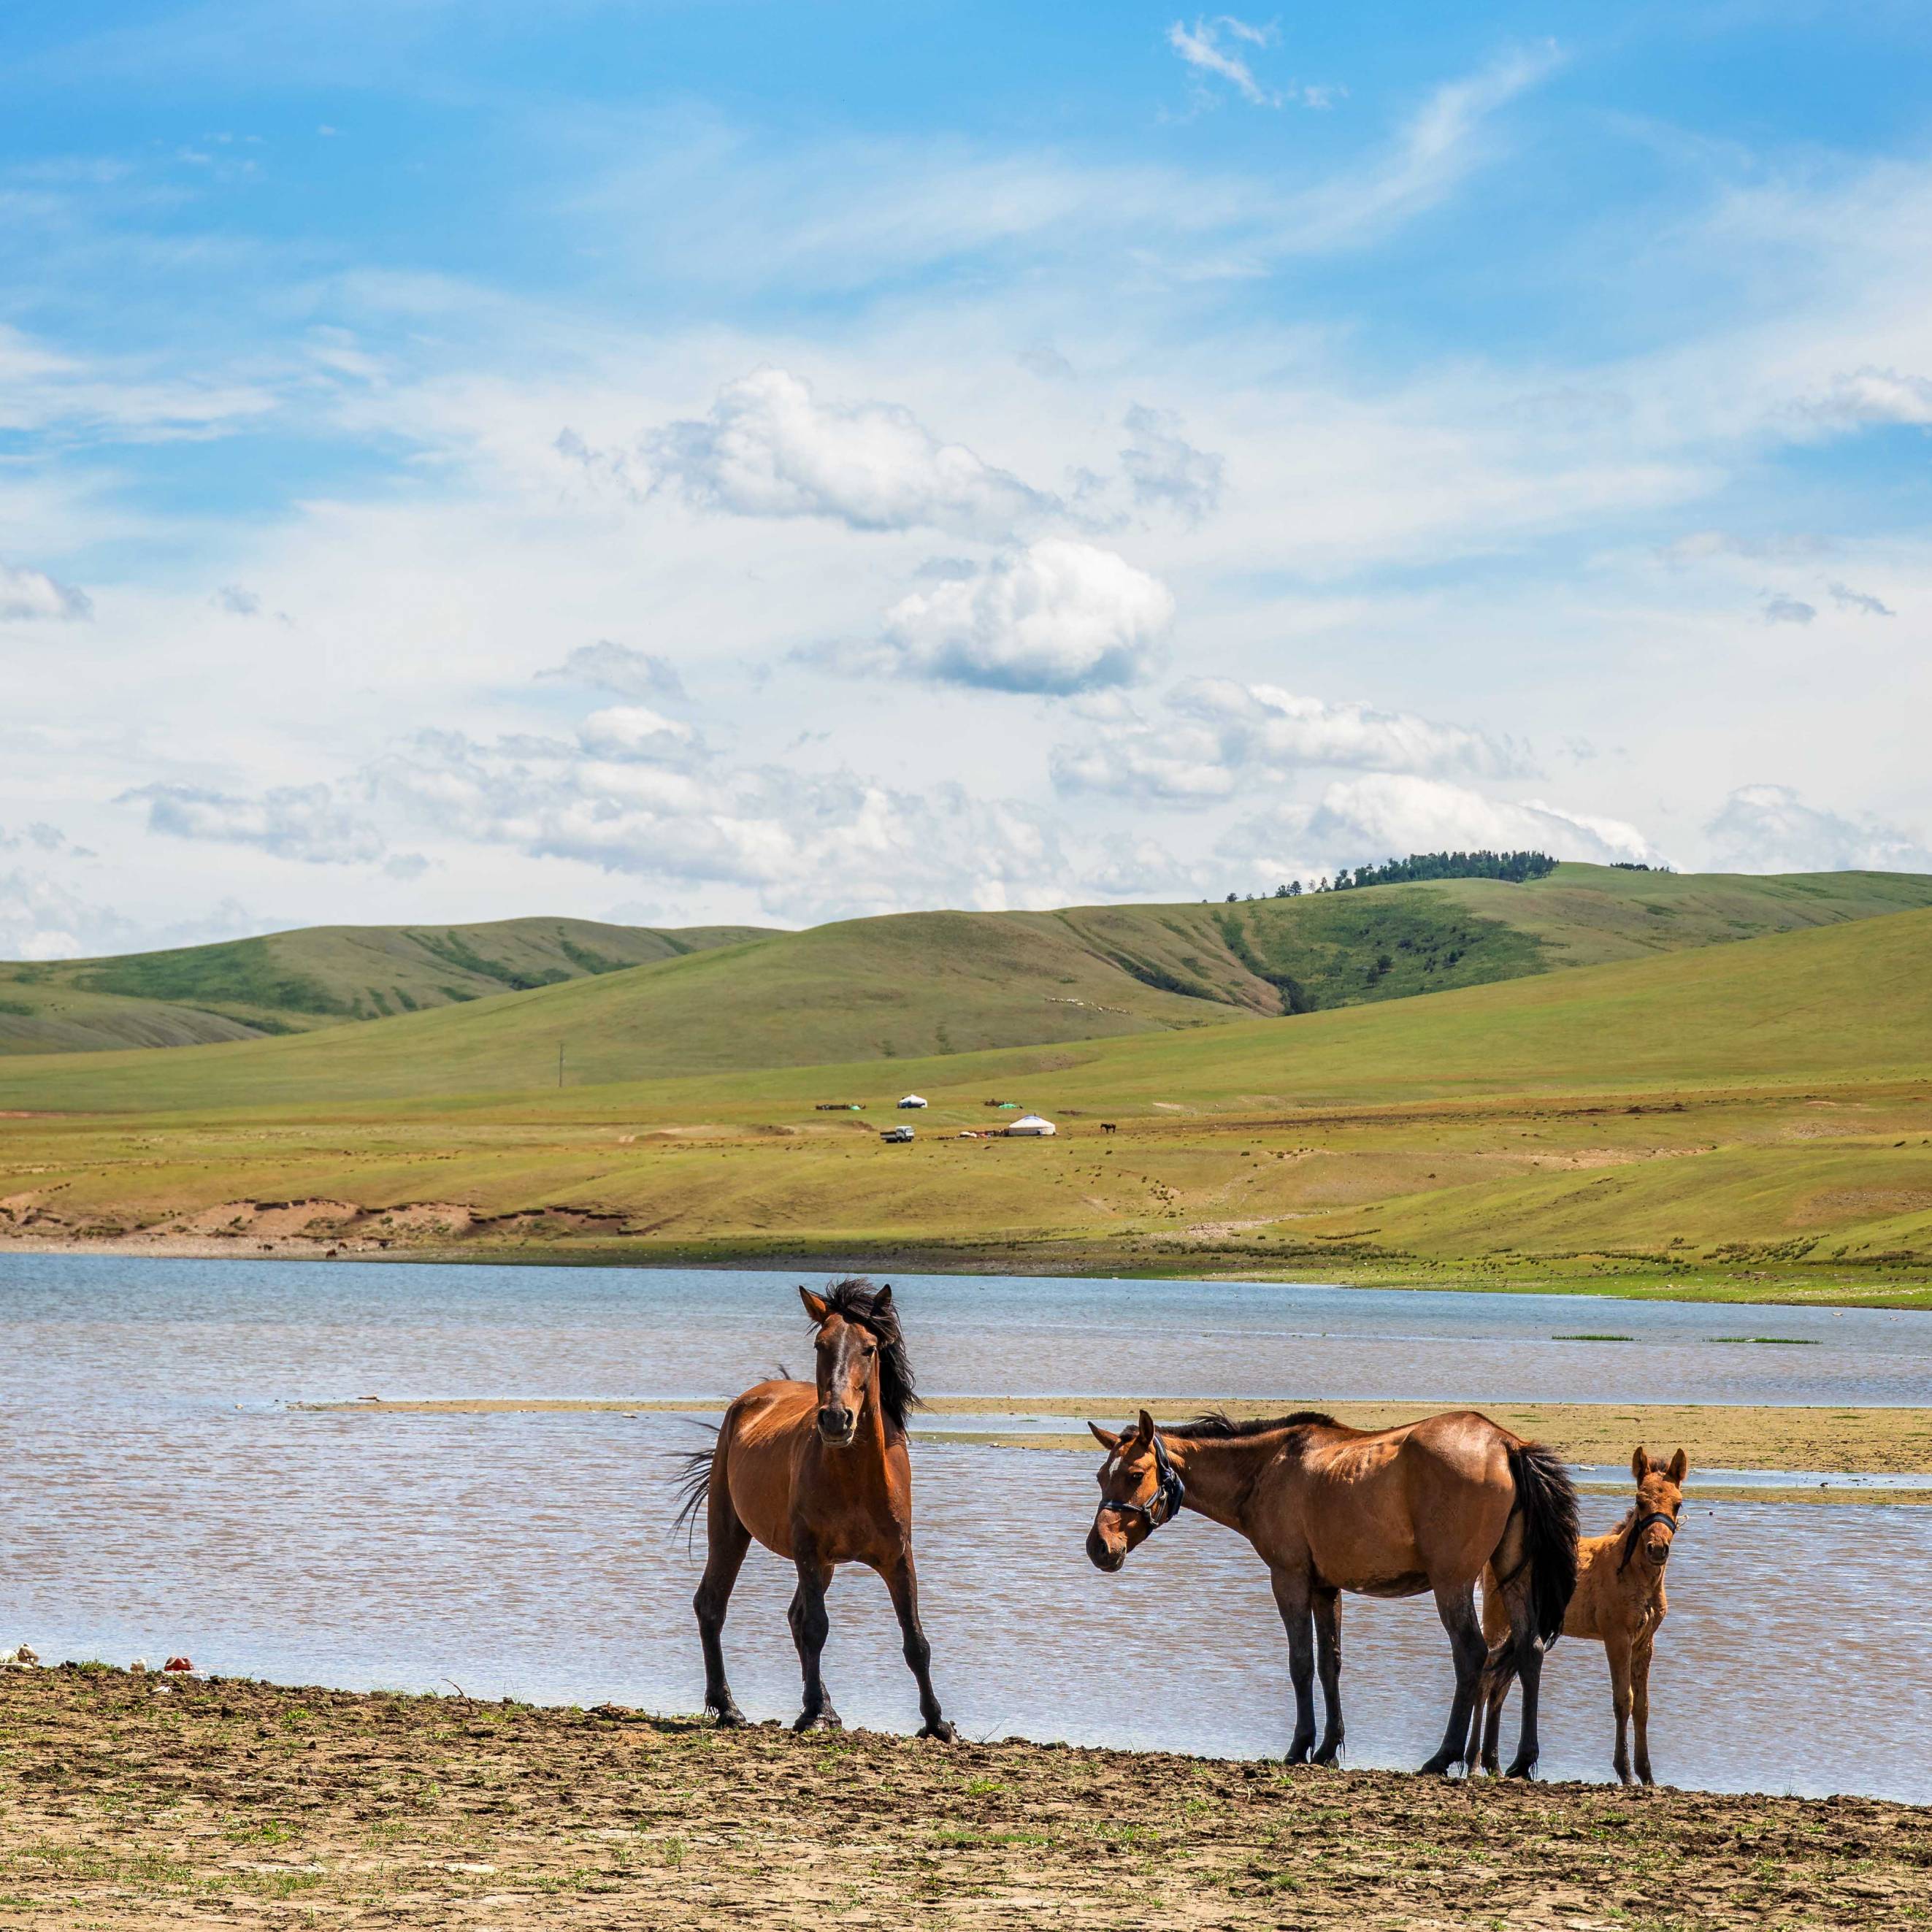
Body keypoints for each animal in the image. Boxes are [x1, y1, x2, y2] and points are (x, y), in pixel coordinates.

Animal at [674, 1278, 954, 1740]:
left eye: (870, 1348)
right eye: (821, 1345)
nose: (836, 1420)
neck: (856, 1481)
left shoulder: (898, 1558)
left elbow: (915, 1640)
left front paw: (937, 1723)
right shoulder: (808, 1551)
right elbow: (816, 1628)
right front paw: (810, 1715)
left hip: (822, 1565)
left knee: (792, 1615)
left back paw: (826, 1706)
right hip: (731, 1531)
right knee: (712, 1605)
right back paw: (729, 1708)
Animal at [1086, 1408, 1578, 1776]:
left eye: (1135, 1475)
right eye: (1100, 1476)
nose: (1099, 1548)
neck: (1268, 1467)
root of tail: (1505, 1445)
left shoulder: (1289, 1578)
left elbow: (1301, 1663)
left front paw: (1299, 1746)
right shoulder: (1326, 1588)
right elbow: (1330, 1665)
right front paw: (1327, 1749)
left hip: (1452, 1582)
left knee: (1472, 1654)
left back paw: (1443, 1757)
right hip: (1512, 1575)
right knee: (1530, 1650)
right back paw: (1522, 1761)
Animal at [1473, 1445, 1687, 1785]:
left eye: (1677, 1504)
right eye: (1640, 1501)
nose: (1657, 1549)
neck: (1634, 1573)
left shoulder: (1645, 1642)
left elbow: (1643, 1706)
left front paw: (1648, 1776)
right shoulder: (1616, 1636)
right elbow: (1623, 1700)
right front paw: (1625, 1773)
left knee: (1499, 1684)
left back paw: (1493, 1764)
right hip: (1498, 1619)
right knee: (1486, 1677)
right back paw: (1473, 1764)